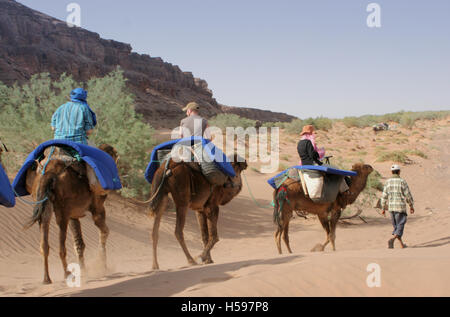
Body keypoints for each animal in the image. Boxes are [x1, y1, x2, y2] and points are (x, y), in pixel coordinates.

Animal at [24, 143, 118, 284]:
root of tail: (49, 173)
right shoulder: (97, 207)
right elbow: (104, 231)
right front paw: (102, 266)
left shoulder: (73, 214)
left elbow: (79, 242)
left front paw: (84, 270)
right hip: (62, 211)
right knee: (61, 247)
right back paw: (67, 274)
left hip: (44, 203)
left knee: (44, 241)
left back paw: (47, 278)